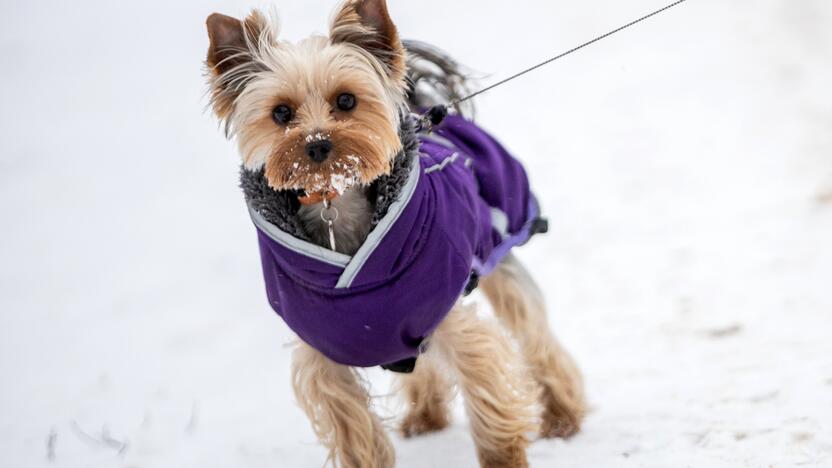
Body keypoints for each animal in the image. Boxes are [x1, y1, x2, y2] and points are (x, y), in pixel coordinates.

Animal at [205, 1, 588, 466]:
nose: (317, 144)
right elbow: (353, 430)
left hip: (501, 255)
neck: (336, 203)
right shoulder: (325, 358)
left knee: (534, 336)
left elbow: (489, 399)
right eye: (281, 112)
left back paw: (562, 416)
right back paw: (426, 416)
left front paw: (504, 458)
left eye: (346, 100)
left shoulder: (446, 312)